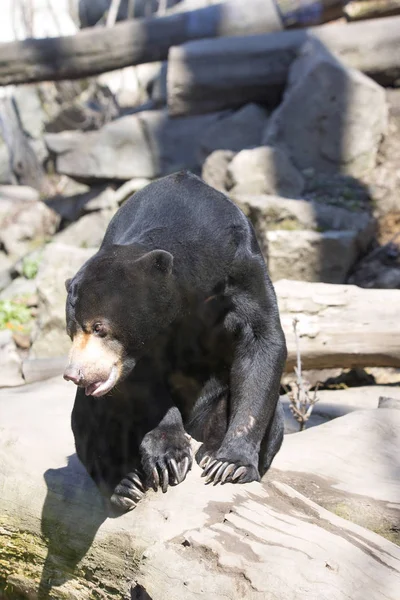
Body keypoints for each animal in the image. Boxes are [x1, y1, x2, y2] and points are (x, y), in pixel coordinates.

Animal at [64, 171, 286, 512]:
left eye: (99, 328)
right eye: (71, 330)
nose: (75, 374)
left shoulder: (244, 268)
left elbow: (262, 341)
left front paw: (231, 464)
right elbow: (142, 385)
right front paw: (167, 455)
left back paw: (210, 451)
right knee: (89, 417)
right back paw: (124, 484)